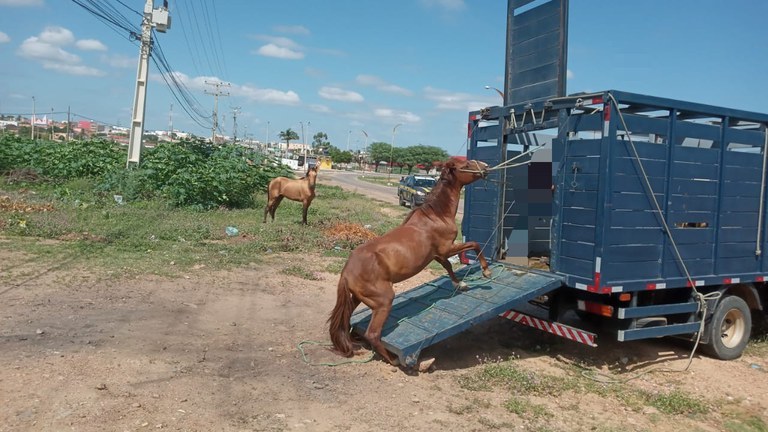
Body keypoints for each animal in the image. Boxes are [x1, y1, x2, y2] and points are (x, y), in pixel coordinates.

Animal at [328, 157, 488, 366]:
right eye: (467, 164)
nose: (486, 167)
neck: (436, 216)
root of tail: (346, 272)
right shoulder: (447, 248)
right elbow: (475, 244)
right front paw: (486, 271)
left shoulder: (437, 254)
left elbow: (448, 266)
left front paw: (460, 284)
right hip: (384, 301)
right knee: (373, 334)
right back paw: (393, 360)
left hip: (356, 298)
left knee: (346, 320)